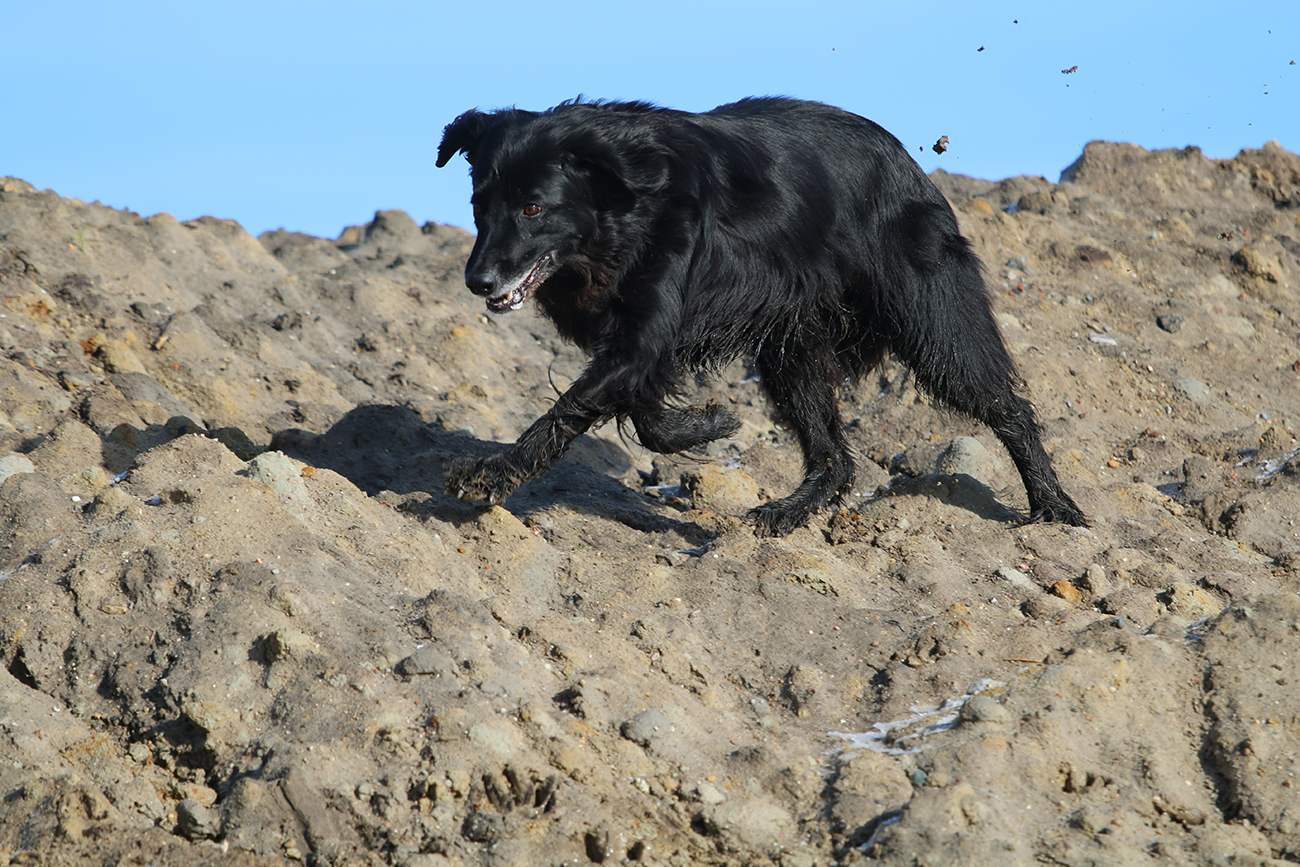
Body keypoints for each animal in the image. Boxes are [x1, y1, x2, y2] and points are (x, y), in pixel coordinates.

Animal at [436, 97, 1086, 536]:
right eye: (478, 204)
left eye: (533, 207)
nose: (477, 281)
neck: (625, 202)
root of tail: (909, 165)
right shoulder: (641, 340)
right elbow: (638, 410)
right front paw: (708, 423)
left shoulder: (649, 327)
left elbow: (575, 406)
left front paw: (493, 474)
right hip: (790, 350)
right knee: (833, 458)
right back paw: (788, 511)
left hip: (936, 328)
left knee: (1008, 408)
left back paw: (1054, 507)